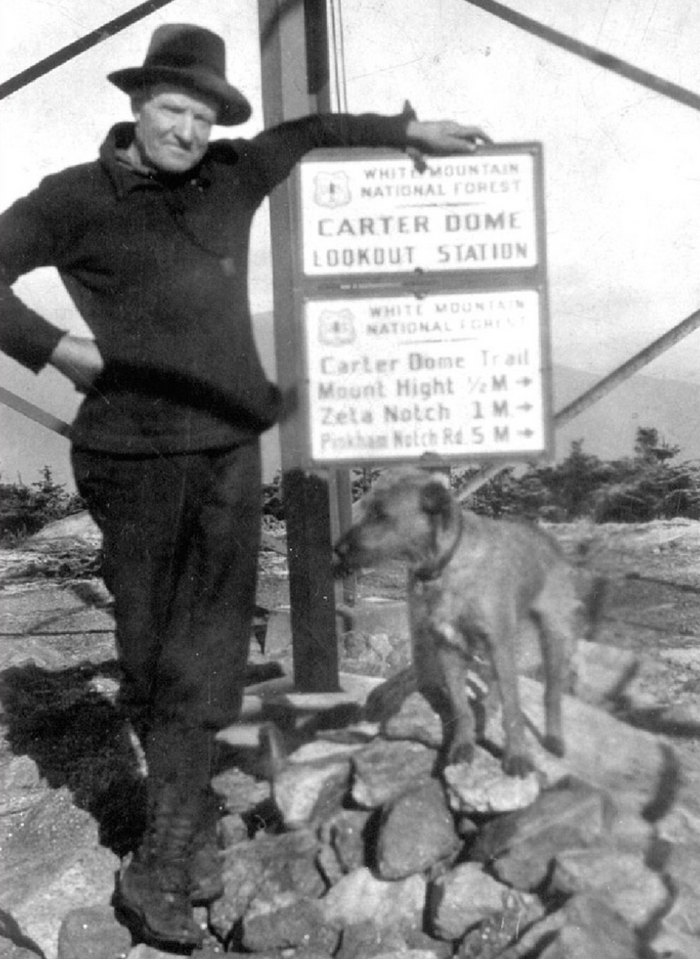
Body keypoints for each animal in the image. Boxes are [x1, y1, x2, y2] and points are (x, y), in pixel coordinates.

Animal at [334, 468, 580, 776]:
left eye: (380, 514)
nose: (337, 548)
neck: (446, 568)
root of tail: (547, 539)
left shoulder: (498, 643)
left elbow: (514, 710)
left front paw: (517, 755)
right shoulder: (449, 648)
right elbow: (461, 707)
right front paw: (462, 746)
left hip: (551, 635)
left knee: (551, 693)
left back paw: (554, 738)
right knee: (498, 683)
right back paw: (489, 707)